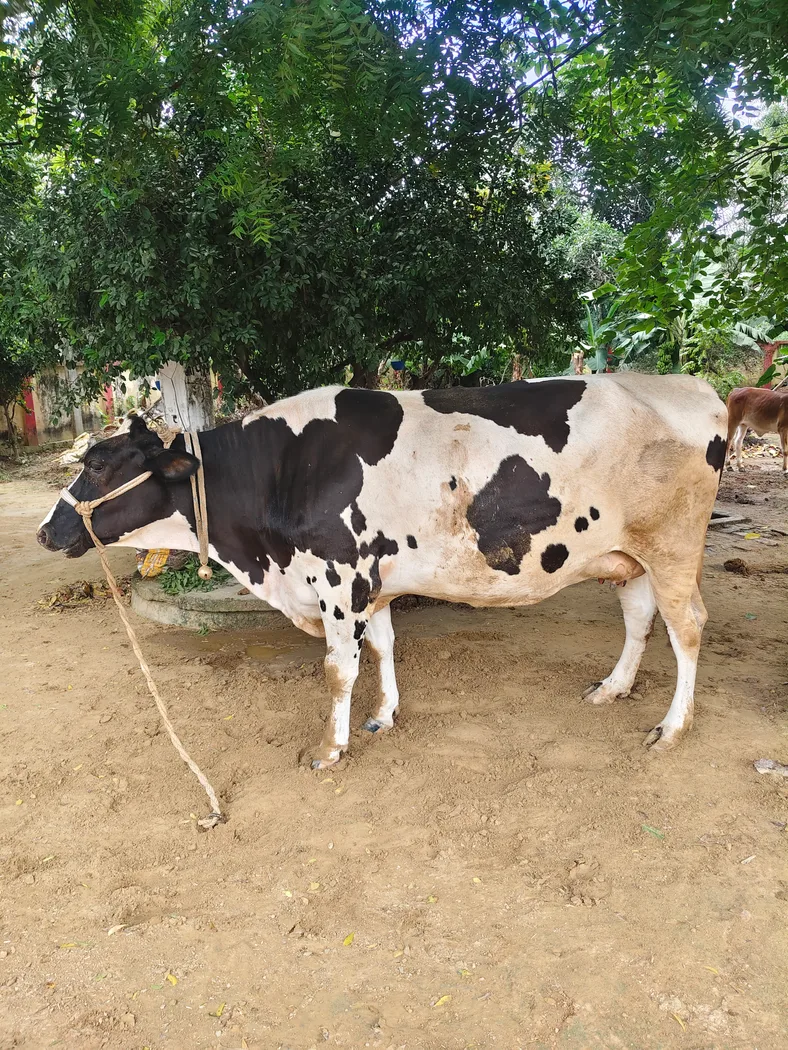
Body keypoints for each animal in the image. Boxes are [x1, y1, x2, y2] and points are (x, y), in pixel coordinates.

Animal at [38, 374, 727, 767]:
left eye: (98, 465)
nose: (48, 530)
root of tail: (694, 387)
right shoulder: (375, 578)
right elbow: (385, 645)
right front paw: (384, 715)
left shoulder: (339, 577)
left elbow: (339, 668)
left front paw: (331, 747)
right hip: (629, 555)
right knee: (639, 619)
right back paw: (613, 688)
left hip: (673, 547)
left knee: (688, 626)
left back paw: (672, 726)